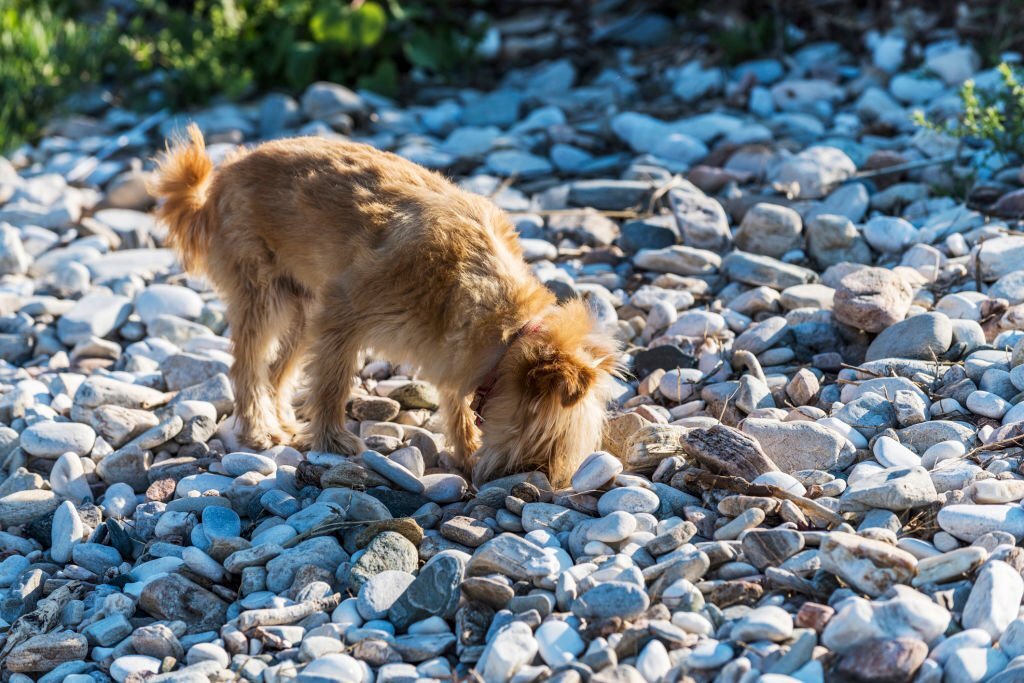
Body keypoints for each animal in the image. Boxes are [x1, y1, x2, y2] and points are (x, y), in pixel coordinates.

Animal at [148, 122, 618, 485]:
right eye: (550, 440)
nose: (540, 482)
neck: (506, 327)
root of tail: (221, 177)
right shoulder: (344, 311)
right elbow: (333, 383)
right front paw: (333, 441)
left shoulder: (452, 349)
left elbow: (455, 401)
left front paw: (465, 450)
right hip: (263, 295)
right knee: (247, 365)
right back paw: (259, 430)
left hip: (302, 309)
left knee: (278, 370)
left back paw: (281, 420)